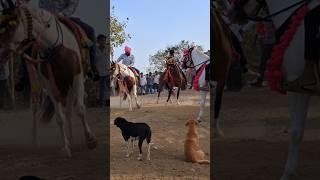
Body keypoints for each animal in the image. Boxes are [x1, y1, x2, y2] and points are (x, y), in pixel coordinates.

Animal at [0, 0, 96, 157]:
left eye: (12, 25)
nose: (0, 53)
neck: (58, 49)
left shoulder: (76, 78)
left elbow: (80, 109)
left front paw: (90, 140)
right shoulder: (50, 85)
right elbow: (59, 117)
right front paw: (65, 147)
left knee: (70, 109)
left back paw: (72, 138)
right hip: (36, 83)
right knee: (35, 107)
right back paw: (35, 141)